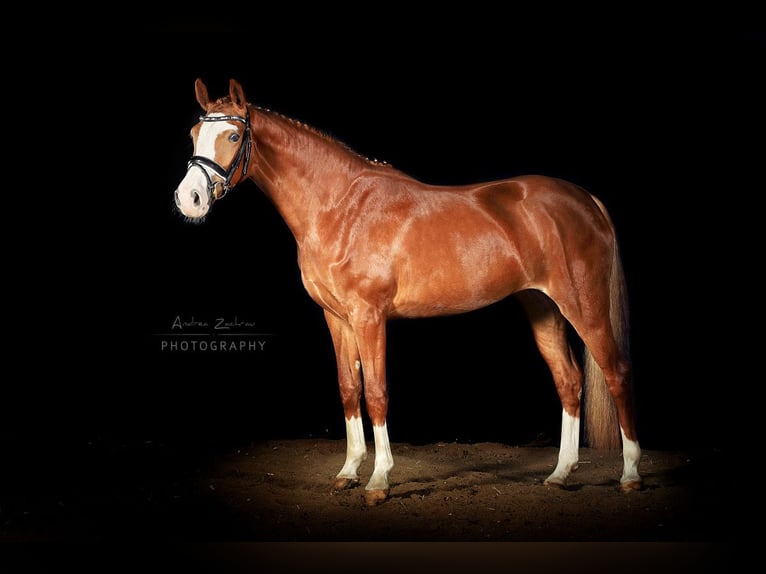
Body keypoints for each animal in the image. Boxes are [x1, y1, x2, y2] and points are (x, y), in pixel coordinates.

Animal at [173, 78, 642, 506]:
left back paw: (630, 475)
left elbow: (377, 393)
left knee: (616, 373)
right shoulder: (336, 317)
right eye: (194, 134)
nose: (189, 199)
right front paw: (348, 471)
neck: (340, 206)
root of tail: (586, 200)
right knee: (568, 380)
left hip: (584, 305)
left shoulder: (369, 316)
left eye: (234, 136)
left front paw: (379, 480)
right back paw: (560, 474)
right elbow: (348, 388)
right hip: (543, 307)